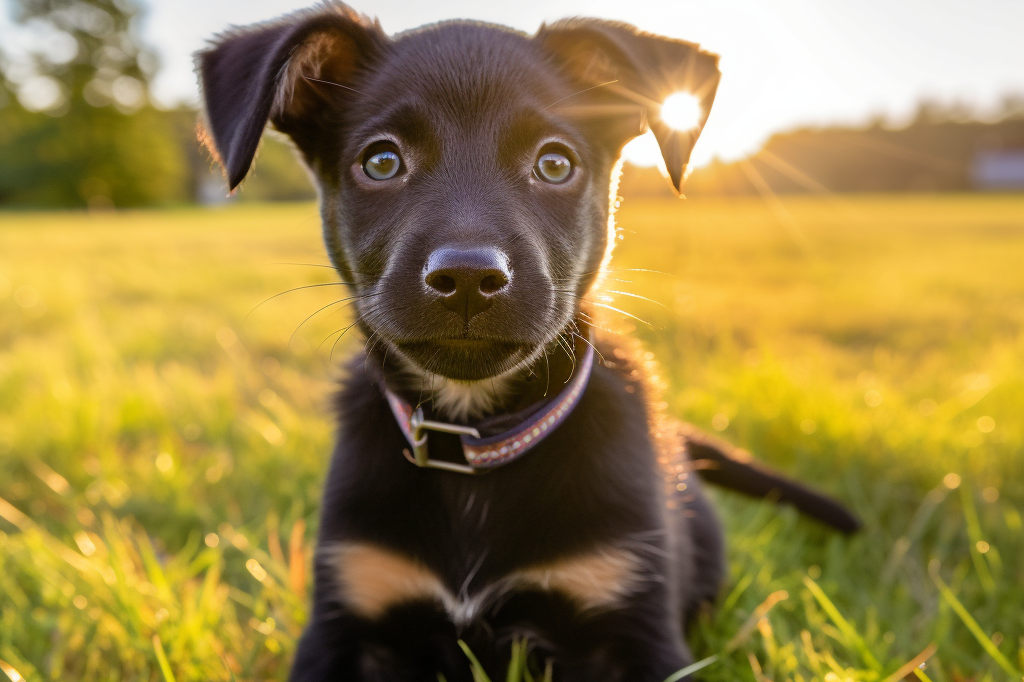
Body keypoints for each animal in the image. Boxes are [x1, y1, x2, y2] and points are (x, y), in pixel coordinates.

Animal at [197, 2, 856, 675]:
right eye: (381, 162)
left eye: (554, 163)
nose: (467, 278)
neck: (474, 443)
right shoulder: (349, 608)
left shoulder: (632, 613)